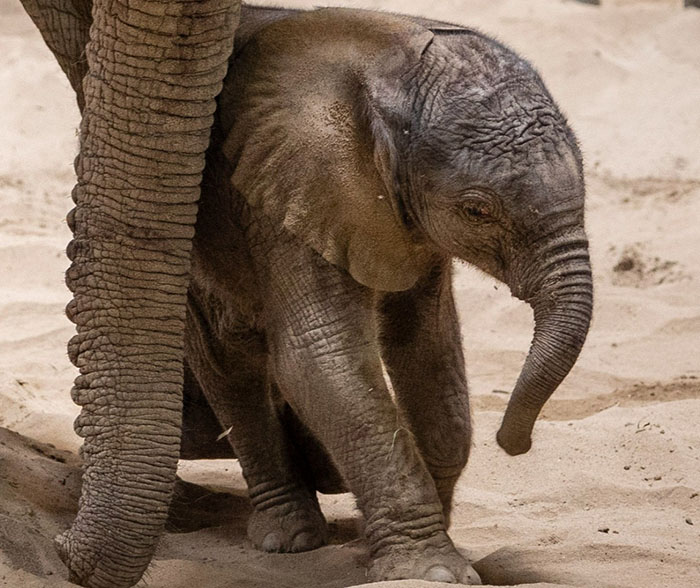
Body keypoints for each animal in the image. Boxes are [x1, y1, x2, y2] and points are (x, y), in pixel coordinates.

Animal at [180, 3, 592, 584]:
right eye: (477, 210)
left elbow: (429, 349)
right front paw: (430, 571)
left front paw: (396, 546)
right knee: (229, 362)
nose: (515, 444)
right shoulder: (287, 191)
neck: (390, 62)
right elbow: (320, 359)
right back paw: (289, 539)